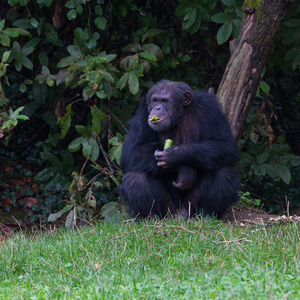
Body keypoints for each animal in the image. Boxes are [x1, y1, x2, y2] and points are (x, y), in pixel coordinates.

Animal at [118, 79, 240, 219]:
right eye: (155, 100)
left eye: (165, 101)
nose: (157, 107)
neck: (180, 114)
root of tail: (178, 214)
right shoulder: (143, 114)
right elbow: (132, 150)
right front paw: (184, 170)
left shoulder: (211, 109)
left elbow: (225, 146)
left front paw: (175, 155)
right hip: (167, 209)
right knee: (136, 177)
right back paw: (147, 218)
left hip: (190, 205)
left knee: (224, 172)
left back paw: (207, 216)